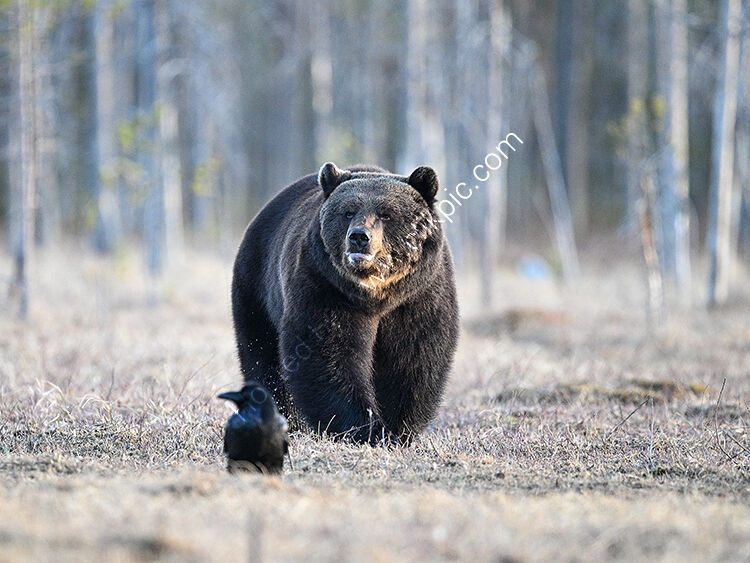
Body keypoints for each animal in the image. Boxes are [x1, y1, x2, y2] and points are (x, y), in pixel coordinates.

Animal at [231, 162, 459, 445]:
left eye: (386, 214)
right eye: (348, 212)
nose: (359, 237)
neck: (377, 295)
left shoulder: (419, 295)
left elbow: (413, 356)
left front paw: (397, 428)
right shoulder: (326, 287)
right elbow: (329, 355)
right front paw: (365, 428)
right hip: (257, 288)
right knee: (262, 354)